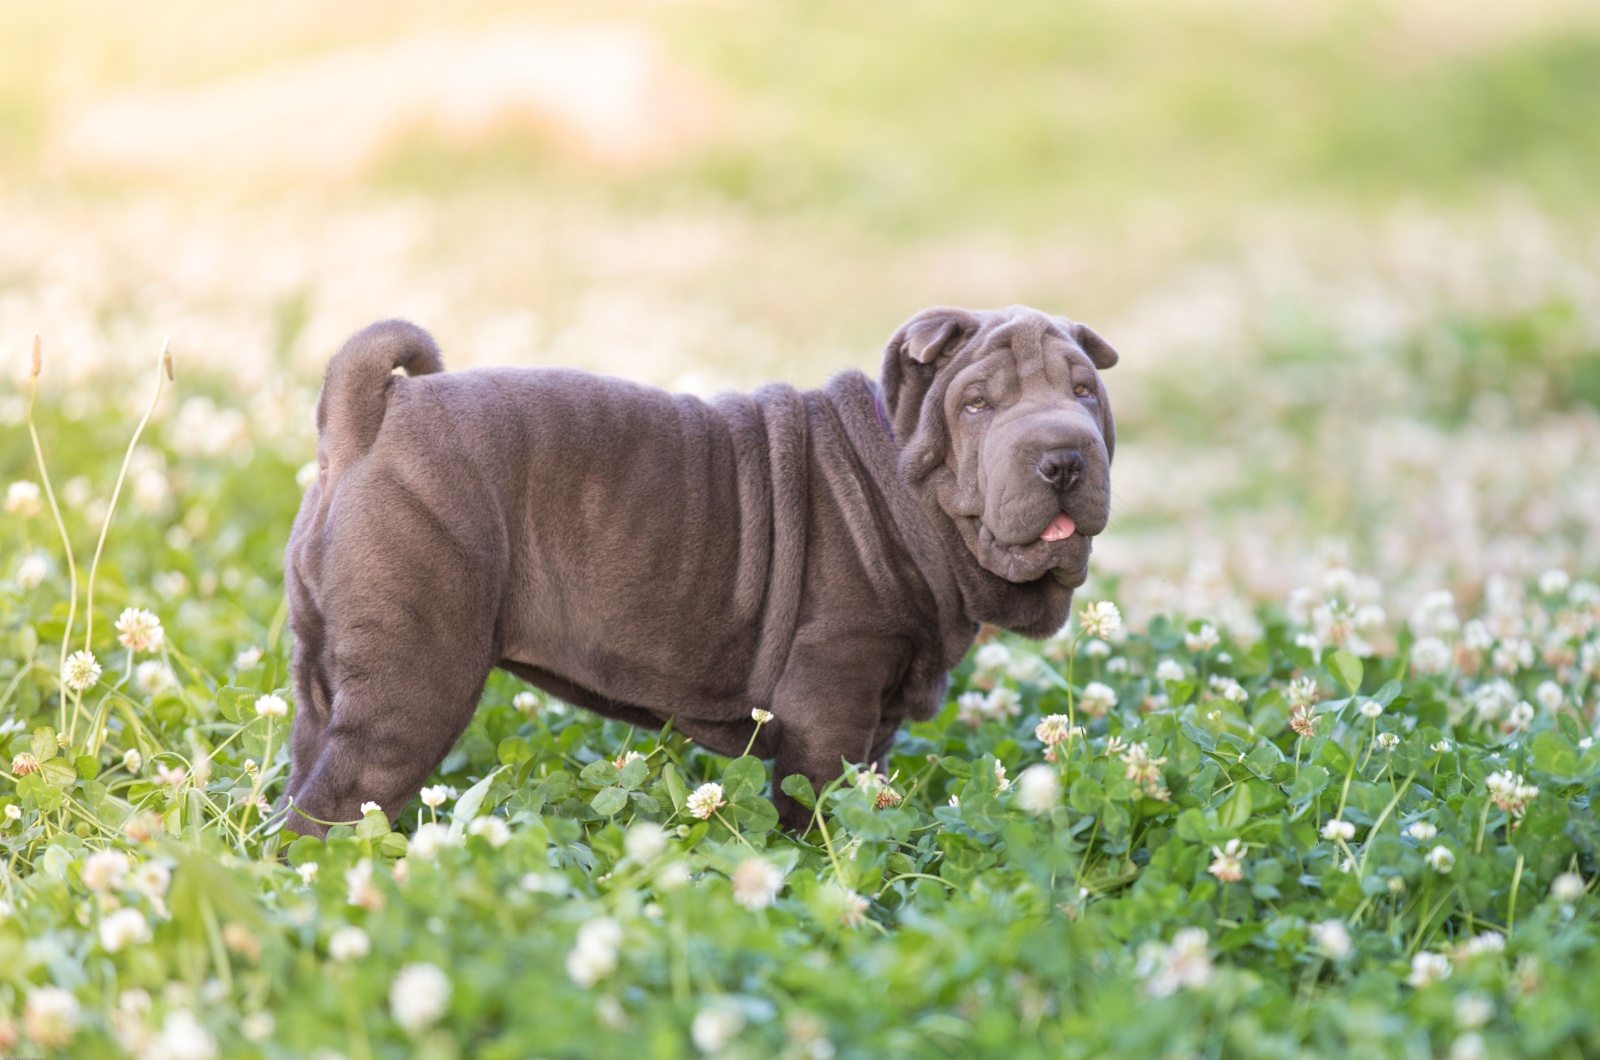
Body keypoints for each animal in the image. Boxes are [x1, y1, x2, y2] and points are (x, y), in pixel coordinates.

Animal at [281, 302, 1120, 832]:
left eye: (1085, 393)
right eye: (977, 404)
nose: (1064, 457)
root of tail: (372, 415)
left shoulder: (874, 718)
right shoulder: (832, 696)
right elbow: (817, 805)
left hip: (321, 679)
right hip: (417, 676)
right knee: (337, 804)